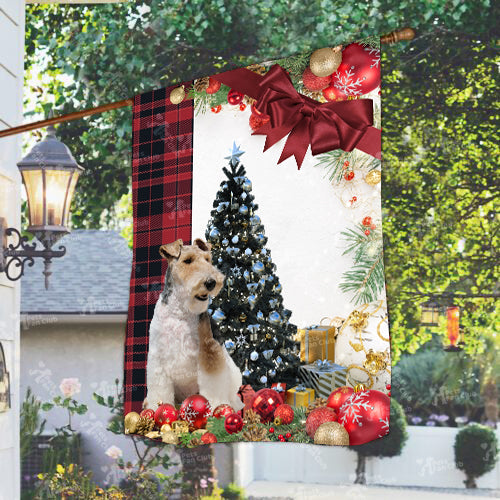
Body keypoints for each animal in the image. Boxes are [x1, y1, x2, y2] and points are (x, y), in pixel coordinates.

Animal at [144, 238, 243, 410]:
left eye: (208, 259)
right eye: (187, 260)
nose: (211, 282)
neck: (180, 312)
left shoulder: (209, 353)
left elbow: (213, 385)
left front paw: (215, 408)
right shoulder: (158, 359)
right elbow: (159, 391)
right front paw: (155, 409)